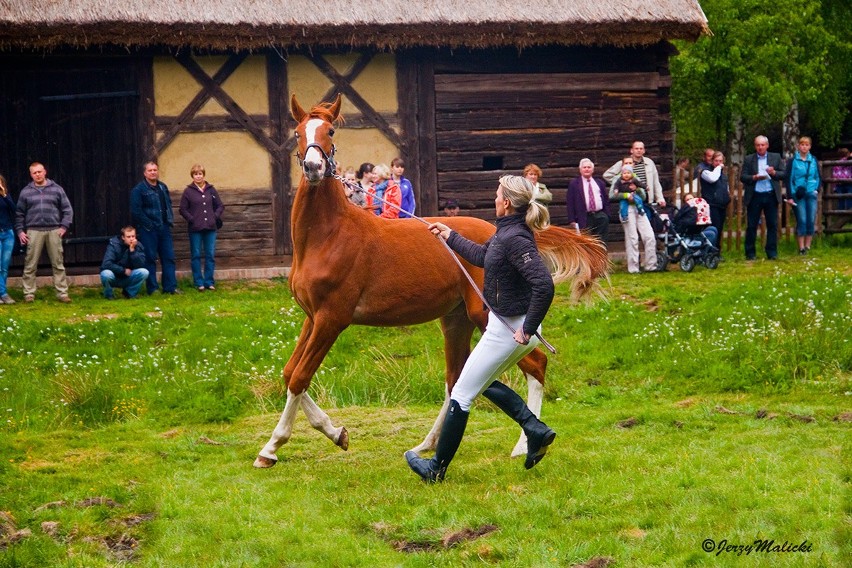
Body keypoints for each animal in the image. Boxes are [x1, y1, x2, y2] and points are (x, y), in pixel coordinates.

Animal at [251, 95, 604, 468]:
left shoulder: (332, 318)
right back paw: (427, 445)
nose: (313, 167)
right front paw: (334, 433)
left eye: (330, 131)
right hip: (456, 320)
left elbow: (300, 376)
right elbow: (290, 373)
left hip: (488, 317)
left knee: (534, 364)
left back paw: (525, 445)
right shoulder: (312, 316)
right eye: (298, 131)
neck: (327, 236)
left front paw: (273, 448)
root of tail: (496, 231)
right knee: (457, 379)